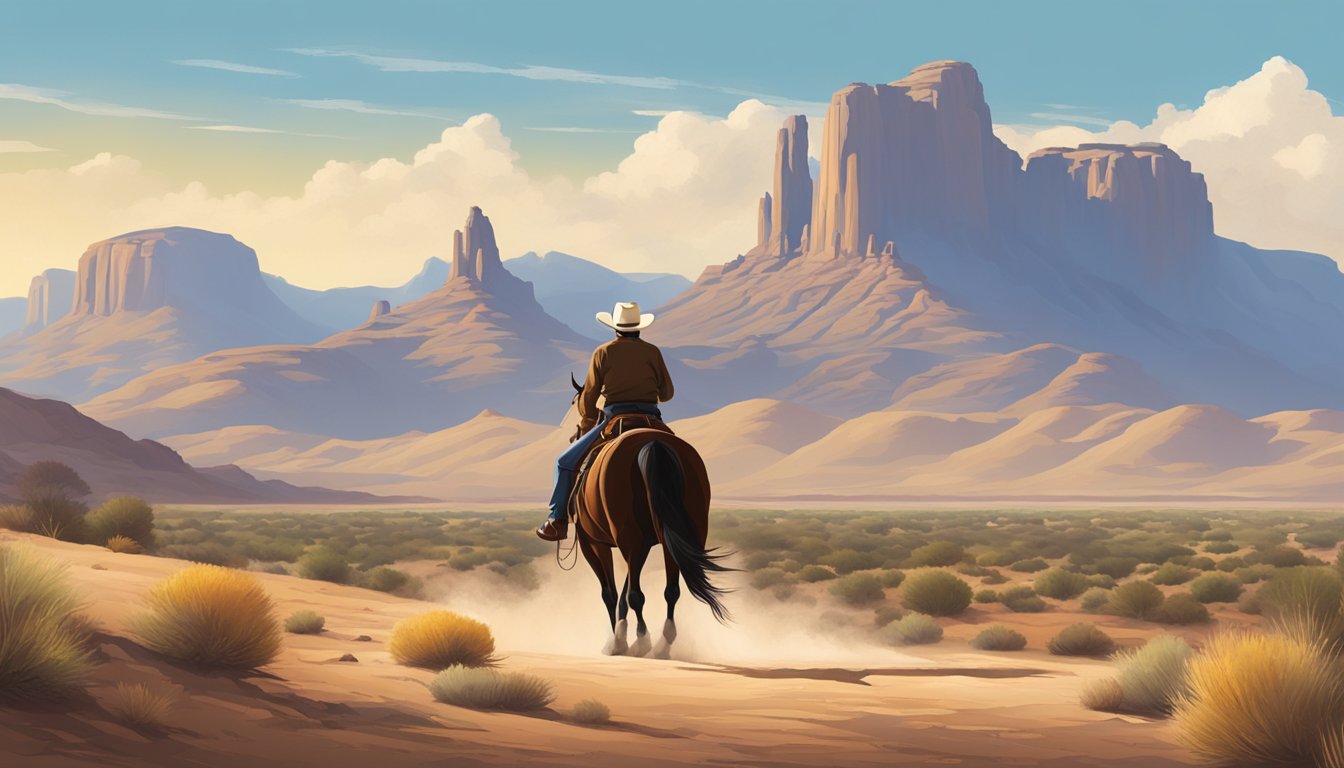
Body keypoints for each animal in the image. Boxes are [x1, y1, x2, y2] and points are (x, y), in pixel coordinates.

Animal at [567, 376, 736, 659]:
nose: (574, 436)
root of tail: (654, 443)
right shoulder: (641, 543)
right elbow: (624, 591)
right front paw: (622, 633)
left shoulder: (594, 542)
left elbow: (611, 593)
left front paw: (616, 641)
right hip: (675, 537)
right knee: (671, 591)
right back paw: (662, 644)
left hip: (628, 539)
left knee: (636, 593)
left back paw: (642, 642)